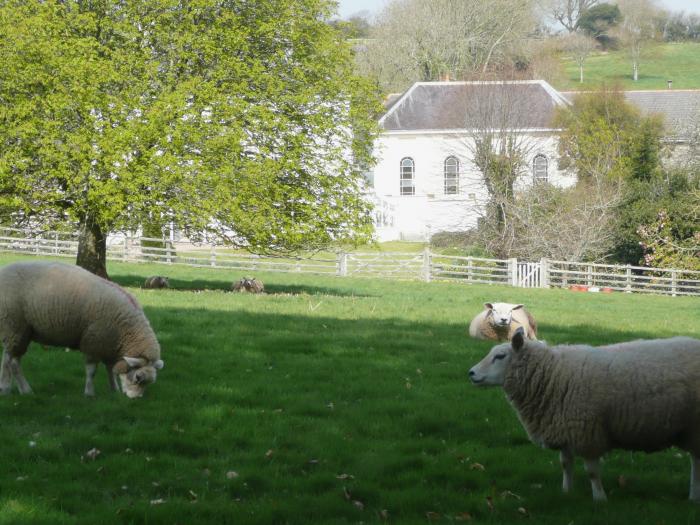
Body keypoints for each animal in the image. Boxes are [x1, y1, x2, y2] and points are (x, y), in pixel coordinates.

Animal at [0, 260, 164, 400]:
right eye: (137, 377)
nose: (135, 399)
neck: (125, 332)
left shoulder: (109, 345)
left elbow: (110, 369)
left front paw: (114, 389)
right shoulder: (93, 342)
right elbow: (92, 371)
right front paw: (89, 393)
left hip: (19, 331)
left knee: (10, 359)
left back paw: (12, 389)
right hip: (14, 326)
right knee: (11, 362)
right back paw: (19, 390)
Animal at [470, 330, 700, 502]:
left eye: (500, 356)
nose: (471, 373)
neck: (554, 375)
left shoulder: (588, 432)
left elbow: (592, 472)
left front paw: (600, 498)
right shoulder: (564, 428)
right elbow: (565, 464)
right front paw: (566, 491)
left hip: (694, 426)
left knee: (695, 461)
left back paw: (693, 496)